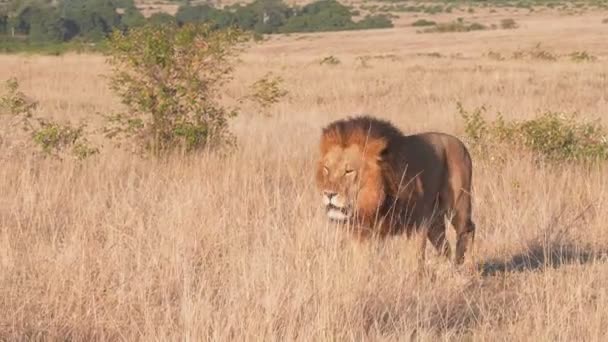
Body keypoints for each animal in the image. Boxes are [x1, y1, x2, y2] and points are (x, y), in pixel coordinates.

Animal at [316, 115, 478, 268]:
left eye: (348, 171)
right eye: (326, 169)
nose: (328, 194)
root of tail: (461, 144)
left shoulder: (418, 223)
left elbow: (416, 258)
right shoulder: (362, 230)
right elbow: (362, 259)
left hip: (458, 205)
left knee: (467, 230)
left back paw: (465, 266)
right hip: (435, 222)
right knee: (444, 246)